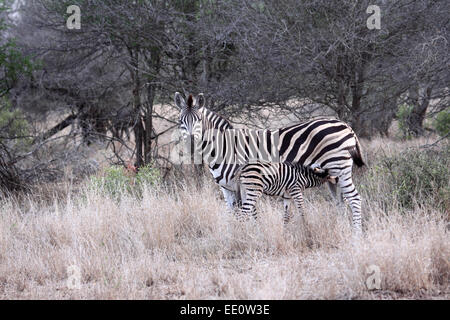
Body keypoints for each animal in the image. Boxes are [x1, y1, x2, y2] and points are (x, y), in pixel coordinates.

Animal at [174, 92, 364, 232]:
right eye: (180, 121)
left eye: (198, 120)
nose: (191, 142)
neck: (225, 148)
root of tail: (346, 126)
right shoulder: (226, 187)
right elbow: (231, 214)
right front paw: (232, 236)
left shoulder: (245, 183)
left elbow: (250, 213)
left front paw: (252, 235)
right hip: (332, 175)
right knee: (340, 202)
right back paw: (340, 229)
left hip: (340, 169)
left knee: (354, 199)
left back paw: (356, 236)